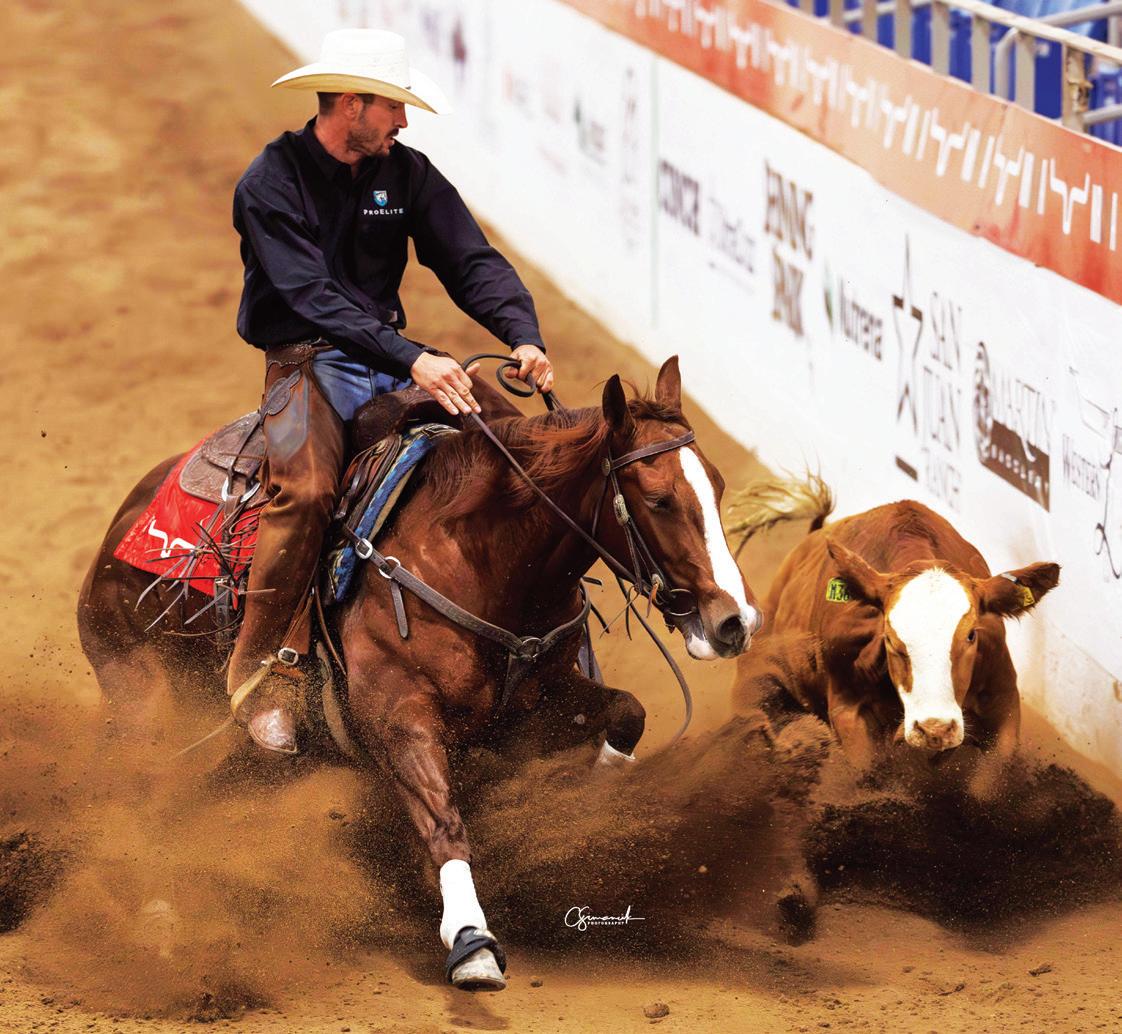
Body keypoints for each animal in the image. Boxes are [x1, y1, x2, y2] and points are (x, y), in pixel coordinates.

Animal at [77, 356, 763, 990]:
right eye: (658, 501)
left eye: (719, 487)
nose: (735, 621)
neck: (480, 558)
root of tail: (127, 518)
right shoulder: (397, 715)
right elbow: (442, 818)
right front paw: (472, 941)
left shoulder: (535, 707)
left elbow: (627, 712)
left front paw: (586, 817)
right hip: (138, 687)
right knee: (145, 783)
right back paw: (150, 905)